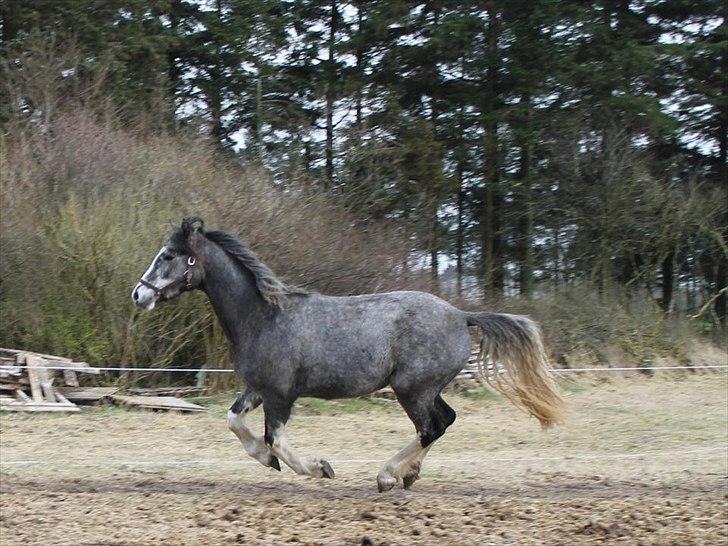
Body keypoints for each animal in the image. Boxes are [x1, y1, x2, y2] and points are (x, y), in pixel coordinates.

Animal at [132, 219, 564, 490]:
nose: (139, 294)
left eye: (168, 255)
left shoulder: (280, 395)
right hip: (426, 389)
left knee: (431, 427)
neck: (264, 317)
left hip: (411, 389)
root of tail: (461, 315)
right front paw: (266, 460)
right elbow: (235, 422)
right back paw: (409, 474)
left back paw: (388, 476)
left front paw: (319, 468)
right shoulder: (257, 389)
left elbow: (277, 440)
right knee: (444, 421)